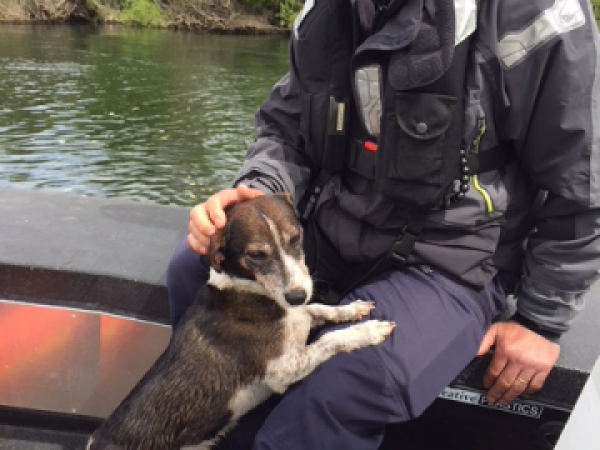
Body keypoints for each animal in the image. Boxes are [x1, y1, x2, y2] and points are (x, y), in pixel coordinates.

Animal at [84, 193, 394, 450]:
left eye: (296, 239)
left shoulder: (301, 315)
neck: (249, 291)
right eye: (256, 255)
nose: (296, 296)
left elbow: (320, 309)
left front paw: (352, 309)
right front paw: (368, 331)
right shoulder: (283, 370)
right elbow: (330, 338)